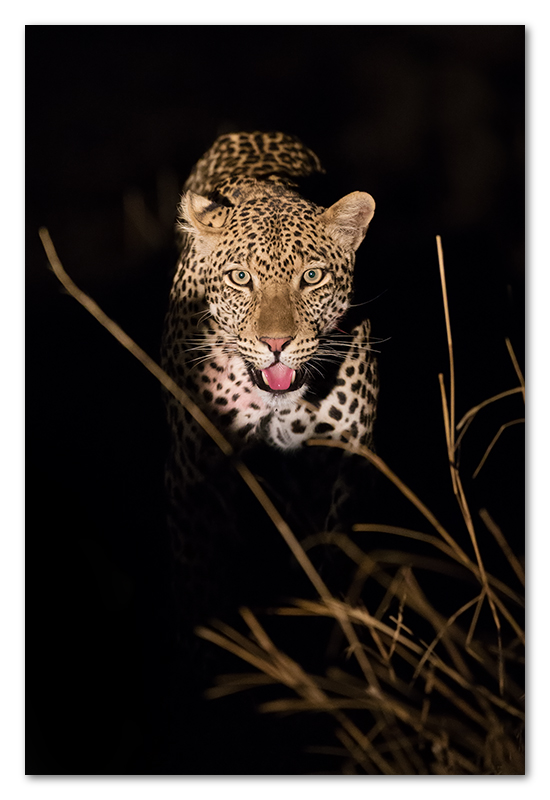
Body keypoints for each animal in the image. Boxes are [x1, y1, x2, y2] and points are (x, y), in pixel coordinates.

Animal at [161, 130, 380, 632]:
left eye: (312, 276)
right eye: (241, 277)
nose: (276, 343)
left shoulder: (346, 468)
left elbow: (338, 565)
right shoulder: (192, 485)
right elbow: (200, 596)